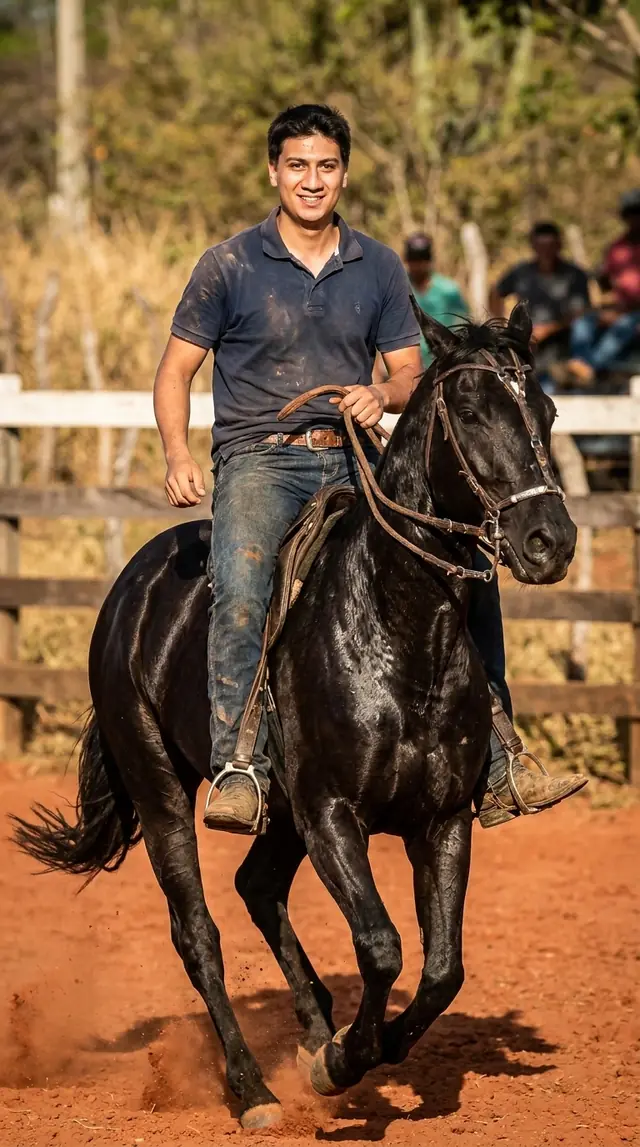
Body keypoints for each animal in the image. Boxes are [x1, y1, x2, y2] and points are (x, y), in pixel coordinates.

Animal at [12, 303, 576, 1131]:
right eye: (472, 411)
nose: (550, 540)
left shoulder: (441, 820)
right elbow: (381, 945)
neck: (395, 630)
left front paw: (359, 1043)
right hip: (163, 789)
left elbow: (443, 968)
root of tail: (132, 587)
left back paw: (313, 1022)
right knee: (198, 933)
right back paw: (255, 1089)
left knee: (257, 886)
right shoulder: (333, 813)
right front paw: (343, 1061)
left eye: (547, 410)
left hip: (282, 815)